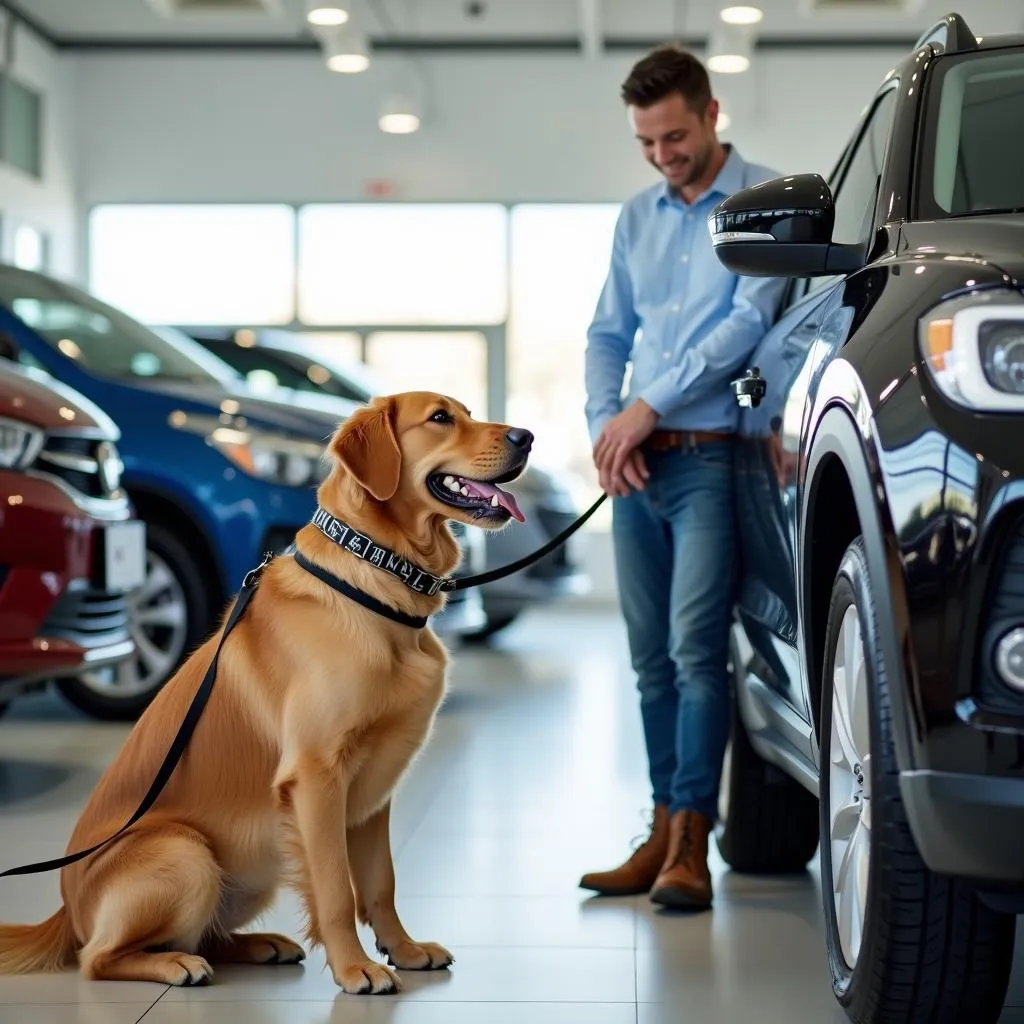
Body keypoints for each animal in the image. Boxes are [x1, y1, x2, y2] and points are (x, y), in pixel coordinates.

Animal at [0, 391, 532, 991]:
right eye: (440, 418)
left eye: (468, 411)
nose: (527, 437)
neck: (374, 586)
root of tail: (65, 911)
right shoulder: (316, 778)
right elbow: (336, 889)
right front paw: (355, 968)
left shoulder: (375, 791)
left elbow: (381, 883)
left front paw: (404, 949)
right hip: (187, 854)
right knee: (101, 957)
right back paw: (176, 964)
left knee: (201, 934)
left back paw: (259, 945)